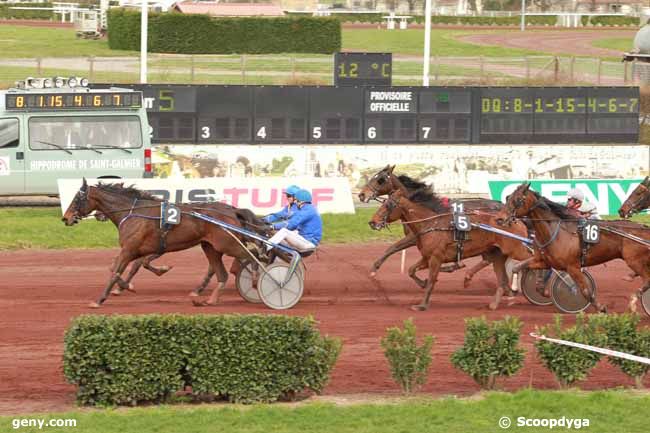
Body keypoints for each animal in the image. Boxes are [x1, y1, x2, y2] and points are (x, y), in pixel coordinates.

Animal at [60, 179, 264, 308]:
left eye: (77, 198)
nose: (65, 218)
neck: (133, 213)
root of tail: (232, 210)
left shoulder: (129, 249)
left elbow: (116, 270)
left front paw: (101, 299)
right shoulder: (140, 250)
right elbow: (124, 267)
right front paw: (127, 286)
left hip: (227, 244)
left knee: (252, 254)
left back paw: (256, 278)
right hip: (211, 247)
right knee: (221, 271)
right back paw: (208, 299)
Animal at [360, 164, 506, 288]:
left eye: (380, 180)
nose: (362, 194)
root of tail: (501, 205)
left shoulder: (414, 237)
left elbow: (392, 248)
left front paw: (373, 270)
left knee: (488, 259)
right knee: (488, 259)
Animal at [368, 187, 528, 308]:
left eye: (388, 205)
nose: (372, 222)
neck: (430, 224)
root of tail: (516, 220)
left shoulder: (436, 257)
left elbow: (432, 279)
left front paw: (422, 305)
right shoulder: (427, 257)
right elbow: (411, 270)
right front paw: (422, 283)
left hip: (517, 249)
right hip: (498, 254)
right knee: (502, 277)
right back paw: (499, 300)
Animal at [504, 181, 648, 312]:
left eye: (517, 200)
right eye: (508, 197)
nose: (502, 218)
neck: (557, 232)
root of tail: (644, 228)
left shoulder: (573, 266)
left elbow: (584, 290)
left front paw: (600, 308)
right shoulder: (544, 261)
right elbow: (518, 267)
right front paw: (514, 289)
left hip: (634, 261)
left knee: (647, 279)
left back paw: (633, 302)